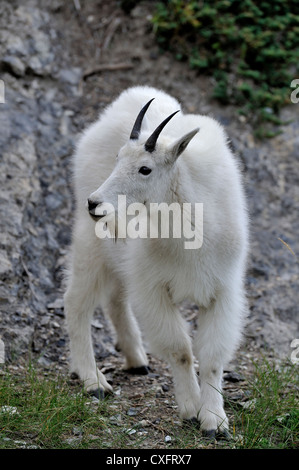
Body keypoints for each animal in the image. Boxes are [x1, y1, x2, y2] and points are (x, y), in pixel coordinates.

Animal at [64, 86, 250, 438]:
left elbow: (212, 356)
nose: (95, 203)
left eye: (145, 169)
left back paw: (136, 360)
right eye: (118, 159)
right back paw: (94, 381)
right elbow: (180, 350)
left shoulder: (222, 291)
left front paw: (215, 421)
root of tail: (128, 97)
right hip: (91, 243)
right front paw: (191, 409)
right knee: (77, 302)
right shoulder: (154, 288)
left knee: (115, 299)